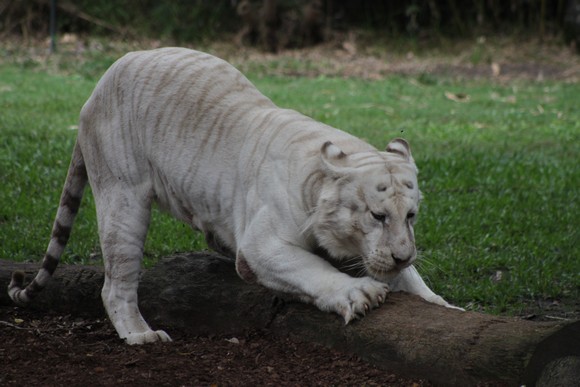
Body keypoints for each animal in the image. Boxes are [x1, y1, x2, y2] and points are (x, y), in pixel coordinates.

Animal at [7, 48, 462, 346]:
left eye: (411, 216)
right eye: (377, 215)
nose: (403, 254)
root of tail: (95, 89)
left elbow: (410, 280)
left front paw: (443, 306)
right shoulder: (261, 246)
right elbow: (309, 267)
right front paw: (359, 295)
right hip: (123, 200)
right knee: (115, 283)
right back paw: (141, 335)